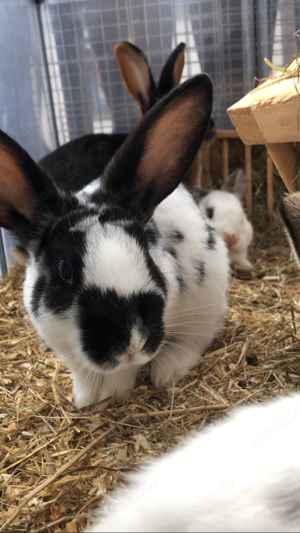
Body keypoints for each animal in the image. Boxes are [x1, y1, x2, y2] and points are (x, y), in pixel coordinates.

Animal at [0, 74, 227, 408]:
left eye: (146, 250)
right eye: (64, 268)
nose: (132, 341)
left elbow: (121, 376)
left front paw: (110, 398)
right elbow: (85, 374)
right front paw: (85, 401)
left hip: (208, 294)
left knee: (195, 339)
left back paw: (167, 371)